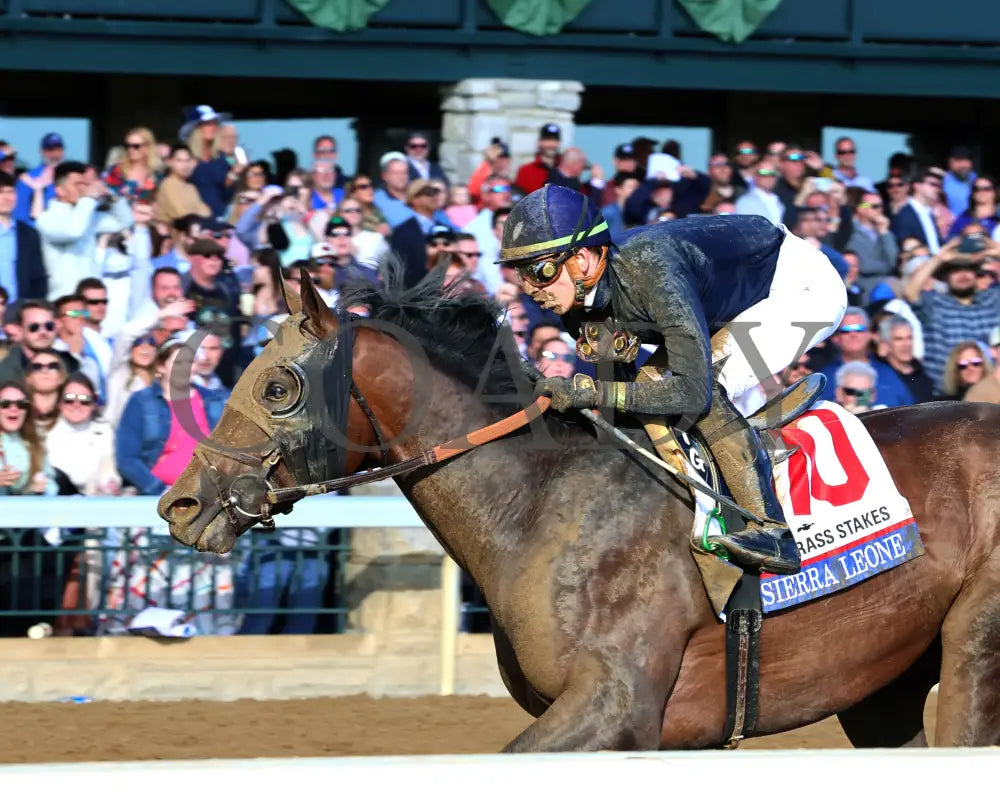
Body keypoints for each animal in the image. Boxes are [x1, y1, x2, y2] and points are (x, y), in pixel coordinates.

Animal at [158, 272, 1000, 752]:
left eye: (277, 387)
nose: (181, 502)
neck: (542, 506)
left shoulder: (616, 703)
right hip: (883, 684)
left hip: (973, 646)